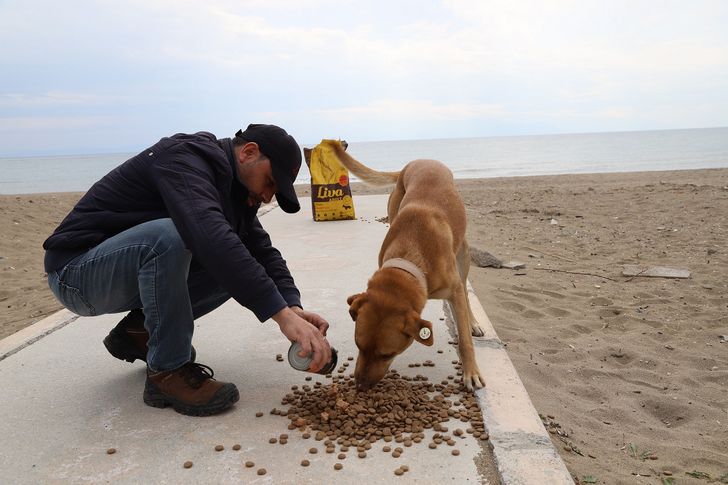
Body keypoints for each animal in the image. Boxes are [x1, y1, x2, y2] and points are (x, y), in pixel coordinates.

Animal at [322, 139, 486, 390]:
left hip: (464, 254)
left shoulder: (454, 289)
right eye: (358, 345)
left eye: (387, 354)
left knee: (466, 293)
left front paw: (471, 371)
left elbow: (465, 340)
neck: (411, 253)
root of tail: (415, 162)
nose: (360, 386)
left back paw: (473, 323)